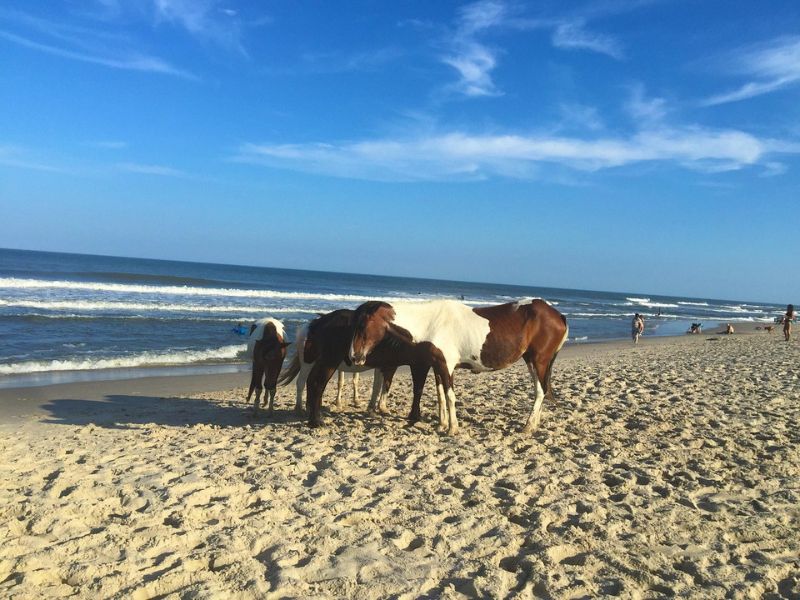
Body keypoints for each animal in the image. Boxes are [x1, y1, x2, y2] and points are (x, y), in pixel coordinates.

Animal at [350, 300, 568, 436]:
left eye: (363, 325)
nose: (354, 356)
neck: (430, 322)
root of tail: (558, 315)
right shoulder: (438, 366)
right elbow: (441, 396)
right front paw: (442, 424)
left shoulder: (446, 365)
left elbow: (450, 396)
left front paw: (452, 429)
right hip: (531, 361)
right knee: (541, 390)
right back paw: (534, 425)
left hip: (539, 361)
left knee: (540, 391)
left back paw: (528, 427)